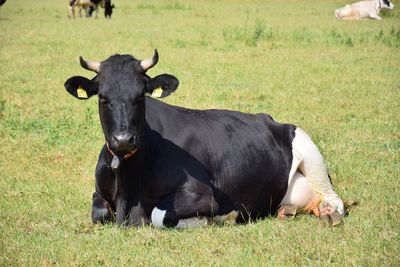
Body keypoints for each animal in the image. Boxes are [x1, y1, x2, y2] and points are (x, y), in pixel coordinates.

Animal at [64, 49, 346, 228]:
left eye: (140, 96)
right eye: (103, 98)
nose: (123, 139)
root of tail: (270, 119)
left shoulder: (202, 194)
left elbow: (158, 215)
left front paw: (207, 220)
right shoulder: (99, 191)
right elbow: (99, 213)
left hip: (308, 147)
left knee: (333, 198)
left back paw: (330, 214)